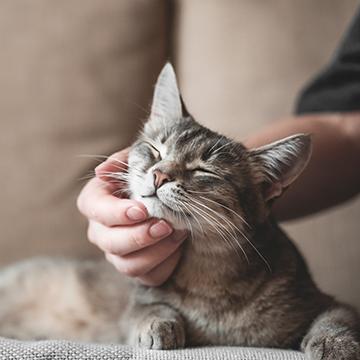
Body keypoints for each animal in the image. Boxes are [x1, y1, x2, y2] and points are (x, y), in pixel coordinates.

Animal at [0, 63, 358, 358]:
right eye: (156, 150)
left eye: (204, 171)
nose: (159, 175)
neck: (206, 275)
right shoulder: (136, 303)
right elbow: (147, 309)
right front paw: (158, 324)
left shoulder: (324, 301)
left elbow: (337, 318)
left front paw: (336, 343)